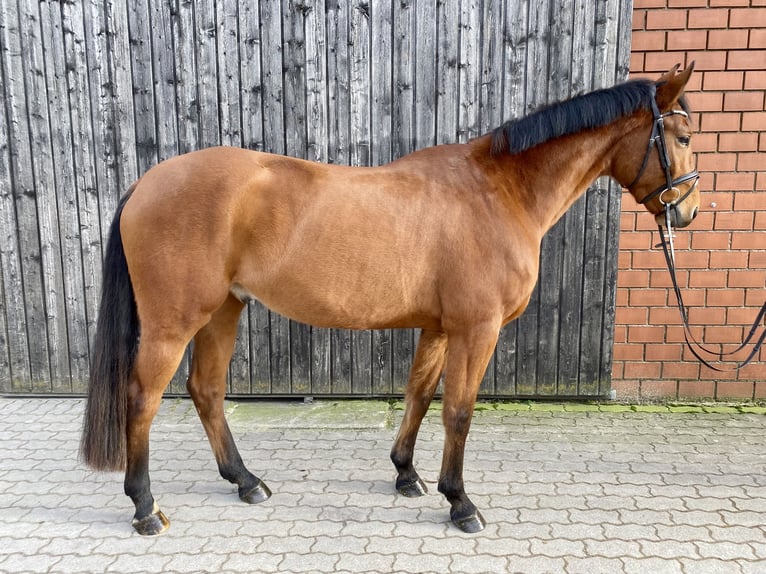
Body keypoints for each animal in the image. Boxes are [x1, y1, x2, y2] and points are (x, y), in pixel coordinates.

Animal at [81, 65, 700, 536]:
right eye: (685, 137)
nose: (687, 212)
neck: (497, 191)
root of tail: (144, 184)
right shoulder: (477, 328)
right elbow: (459, 412)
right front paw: (461, 503)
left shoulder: (440, 326)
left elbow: (420, 397)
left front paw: (407, 476)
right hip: (175, 321)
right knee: (143, 398)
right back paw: (144, 507)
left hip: (224, 310)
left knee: (206, 391)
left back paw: (246, 482)